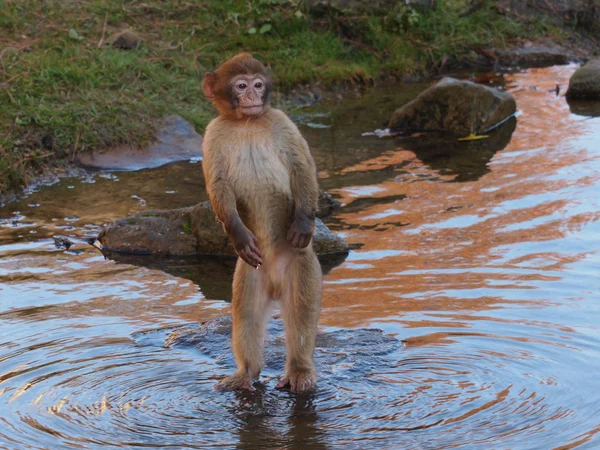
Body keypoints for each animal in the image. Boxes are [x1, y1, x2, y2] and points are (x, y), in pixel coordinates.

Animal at [202, 53, 324, 394]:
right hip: (250, 274)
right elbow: (218, 185)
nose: (253, 98)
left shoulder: (281, 121)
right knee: (246, 315)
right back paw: (247, 372)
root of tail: (274, 281)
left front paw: (303, 225)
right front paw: (237, 233)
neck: (248, 123)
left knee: (300, 314)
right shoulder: (213, 134)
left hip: (300, 267)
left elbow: (301, 166)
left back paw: (299, 371)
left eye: (258, 84)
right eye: (241, 86)